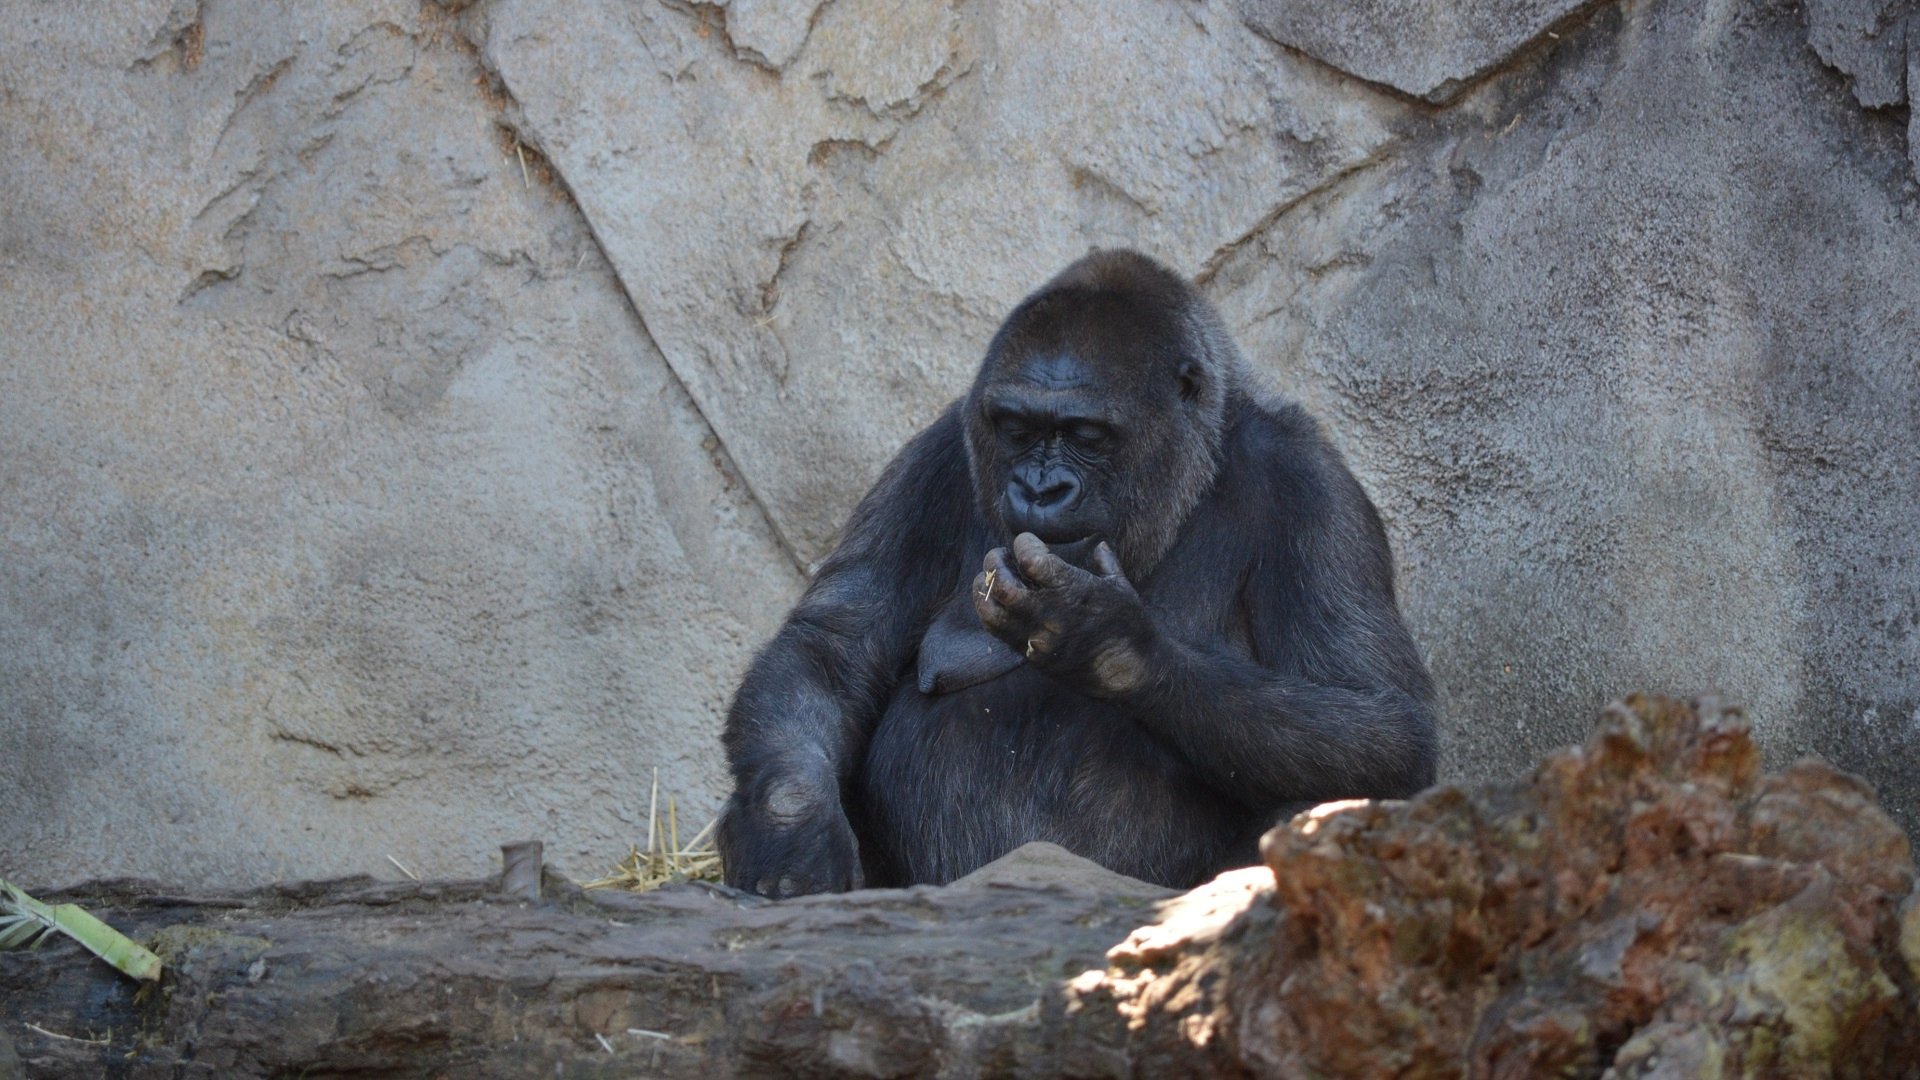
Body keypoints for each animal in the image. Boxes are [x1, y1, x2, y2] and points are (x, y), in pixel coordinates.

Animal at [714, 245, 1436, 891]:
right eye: (1016, 428)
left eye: (1087, 435)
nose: (1040, 488)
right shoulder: (940, 449)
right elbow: (829, 652)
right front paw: (791, 833)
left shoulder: (1313, 484)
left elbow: (1385, 720)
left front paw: (1109, 642)